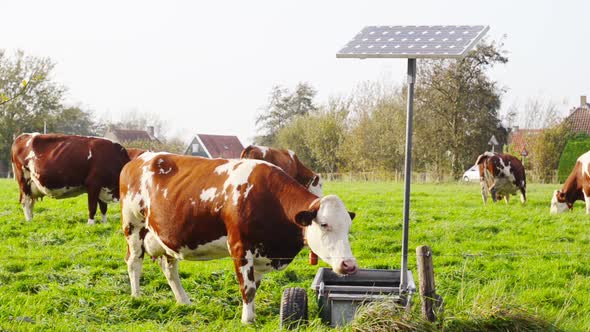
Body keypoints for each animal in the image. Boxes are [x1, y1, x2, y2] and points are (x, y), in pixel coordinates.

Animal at [119, 154, 358, 322]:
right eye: (325, 224)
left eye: (347, 227)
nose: (349, 264)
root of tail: (138, 159)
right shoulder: (240, 247)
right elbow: (248, 288)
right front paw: (248, 320)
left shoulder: (261, 254)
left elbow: (255, 286)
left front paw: (251, 313)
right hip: (133, 225)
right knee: (134, 262)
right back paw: (136, 297)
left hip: (166, 237)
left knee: (169, 268)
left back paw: (184, 301)